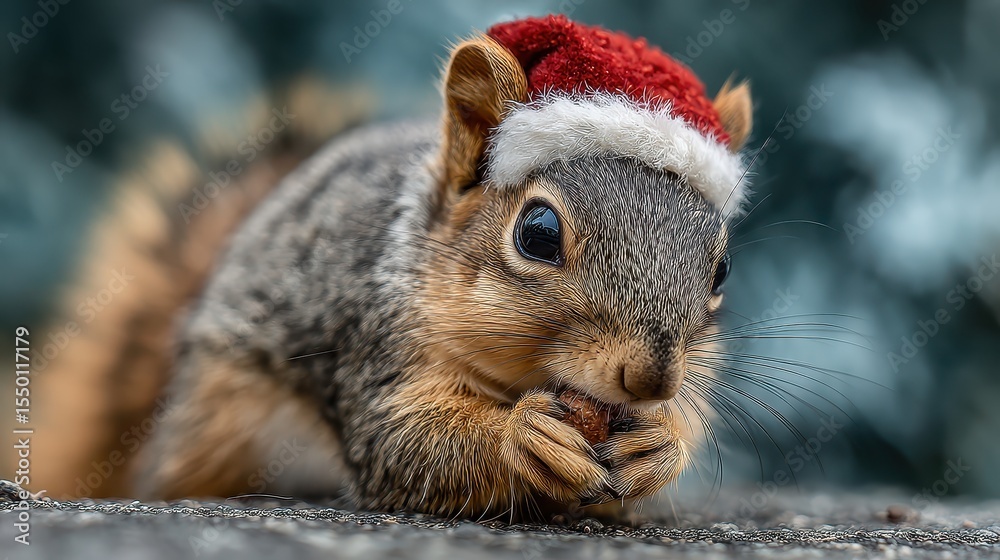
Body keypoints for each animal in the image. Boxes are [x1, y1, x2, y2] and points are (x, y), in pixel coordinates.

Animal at [32, 15, 754, 520]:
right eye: (538, 234)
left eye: (722, 268)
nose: (651, 379)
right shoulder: (371, 343)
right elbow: (403, 444)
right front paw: (522, 437)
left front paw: (658, 446)